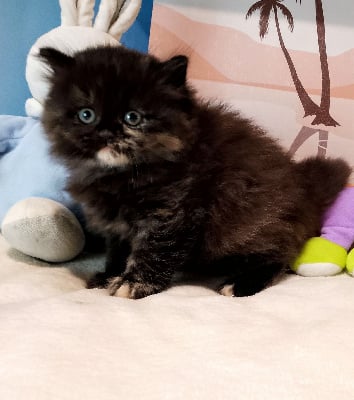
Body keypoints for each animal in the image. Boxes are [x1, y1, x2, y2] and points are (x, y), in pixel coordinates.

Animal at [40, 45, 350, 298]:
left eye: (133, 118)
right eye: (86, 115)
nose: (106, 133)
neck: (121, 175)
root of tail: (304, 187)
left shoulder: (172, 214)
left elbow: (154, 251)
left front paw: (134, 284)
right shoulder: (115, 225)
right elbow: (117, 251)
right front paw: (109, 276)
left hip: (254, 225)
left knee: (278, 257)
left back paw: (239, 284)